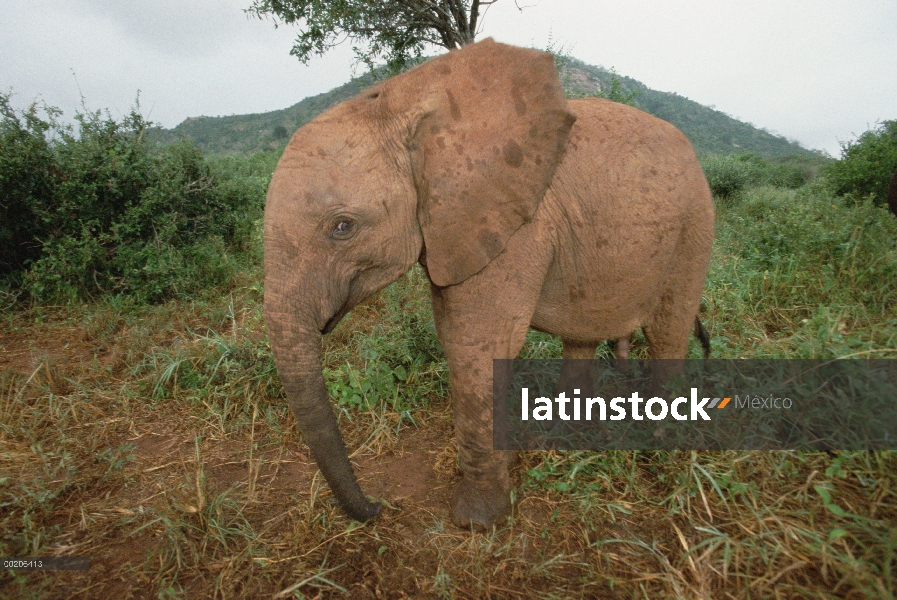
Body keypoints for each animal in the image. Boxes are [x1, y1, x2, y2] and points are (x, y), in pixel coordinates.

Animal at [260, 38, 712, 528]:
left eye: (342, 227)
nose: (378, 507)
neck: (402, 105)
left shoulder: (516, 228)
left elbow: (477, 346)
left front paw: (476, 520)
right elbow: (456, 335)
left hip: (694, 230)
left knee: (668, 332)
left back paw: (657, 448)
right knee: (583, 336)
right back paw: (568, 441)